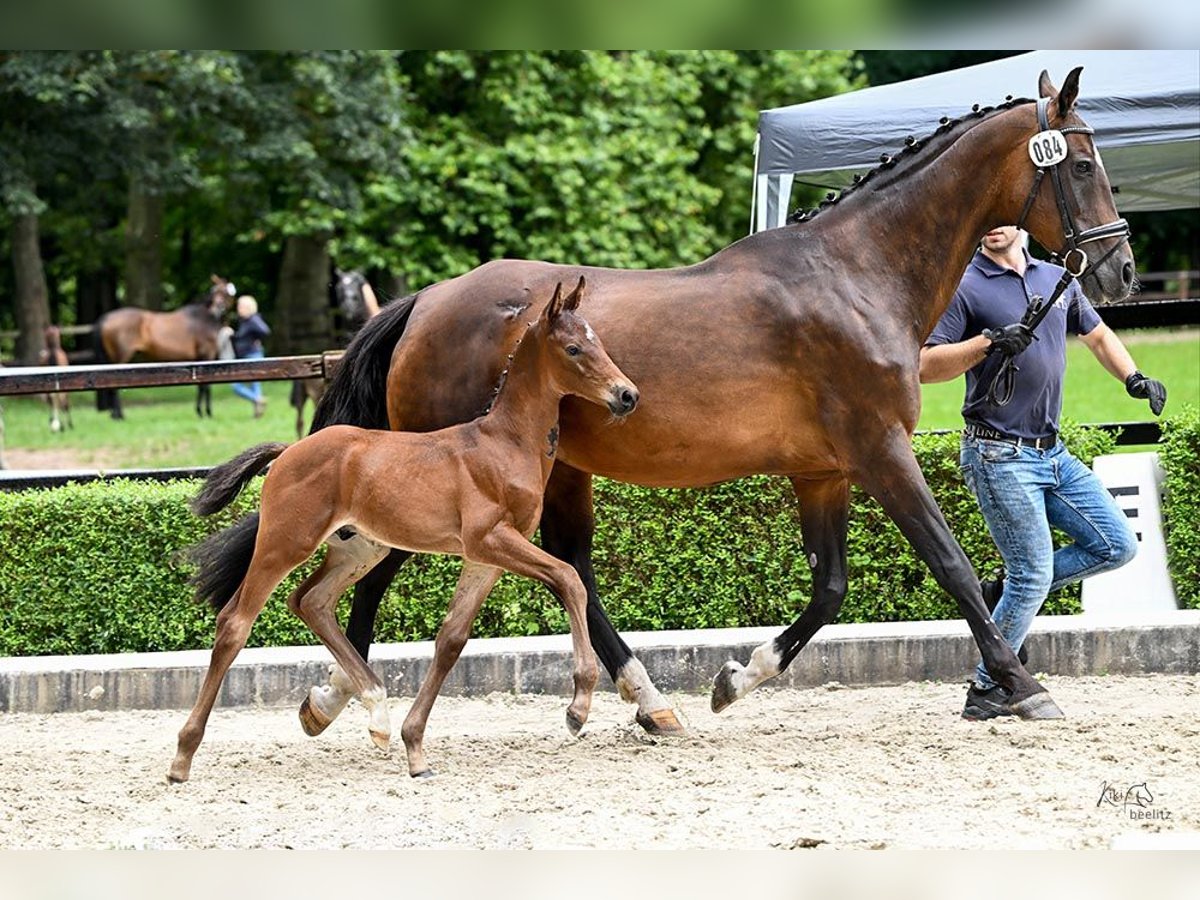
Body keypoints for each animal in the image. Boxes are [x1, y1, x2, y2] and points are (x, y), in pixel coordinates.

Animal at [93, 274, 234, 420]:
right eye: (215, 291)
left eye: (225, 292)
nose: (218, 308)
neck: (205, 319)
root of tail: (106, 318)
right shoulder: (206, 355)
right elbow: (205, 386)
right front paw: (205, 412)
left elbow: (202, 385)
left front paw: (201, 411)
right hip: (119, 358)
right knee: (114, 387)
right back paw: (119, 415)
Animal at [171, 280, 638, 782]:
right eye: (573, 349)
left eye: (599, 342)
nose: (627, 395)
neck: (504, 442)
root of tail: (289, 450)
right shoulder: (490, 539)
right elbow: (570, 579)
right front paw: (578, 707)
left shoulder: (486, 556)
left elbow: (452, 638)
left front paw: (415, 748)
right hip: (285, 541)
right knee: (235, 622)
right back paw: (182, 756)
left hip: (358, 550)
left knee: (310, 601)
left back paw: (378, 716)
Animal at [292, 68, 1132, 734]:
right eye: (1083, 162)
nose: (1119, 269)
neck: (855, 272)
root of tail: (428, 302)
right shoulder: (881, 450)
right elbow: (953, 565)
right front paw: (1024, 686)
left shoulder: (823, 471)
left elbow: (830, 587)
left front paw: (736, 679)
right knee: (389, 565)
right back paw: (341, 697)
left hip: (557, 469)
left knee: (570, 566)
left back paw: (649, 702)